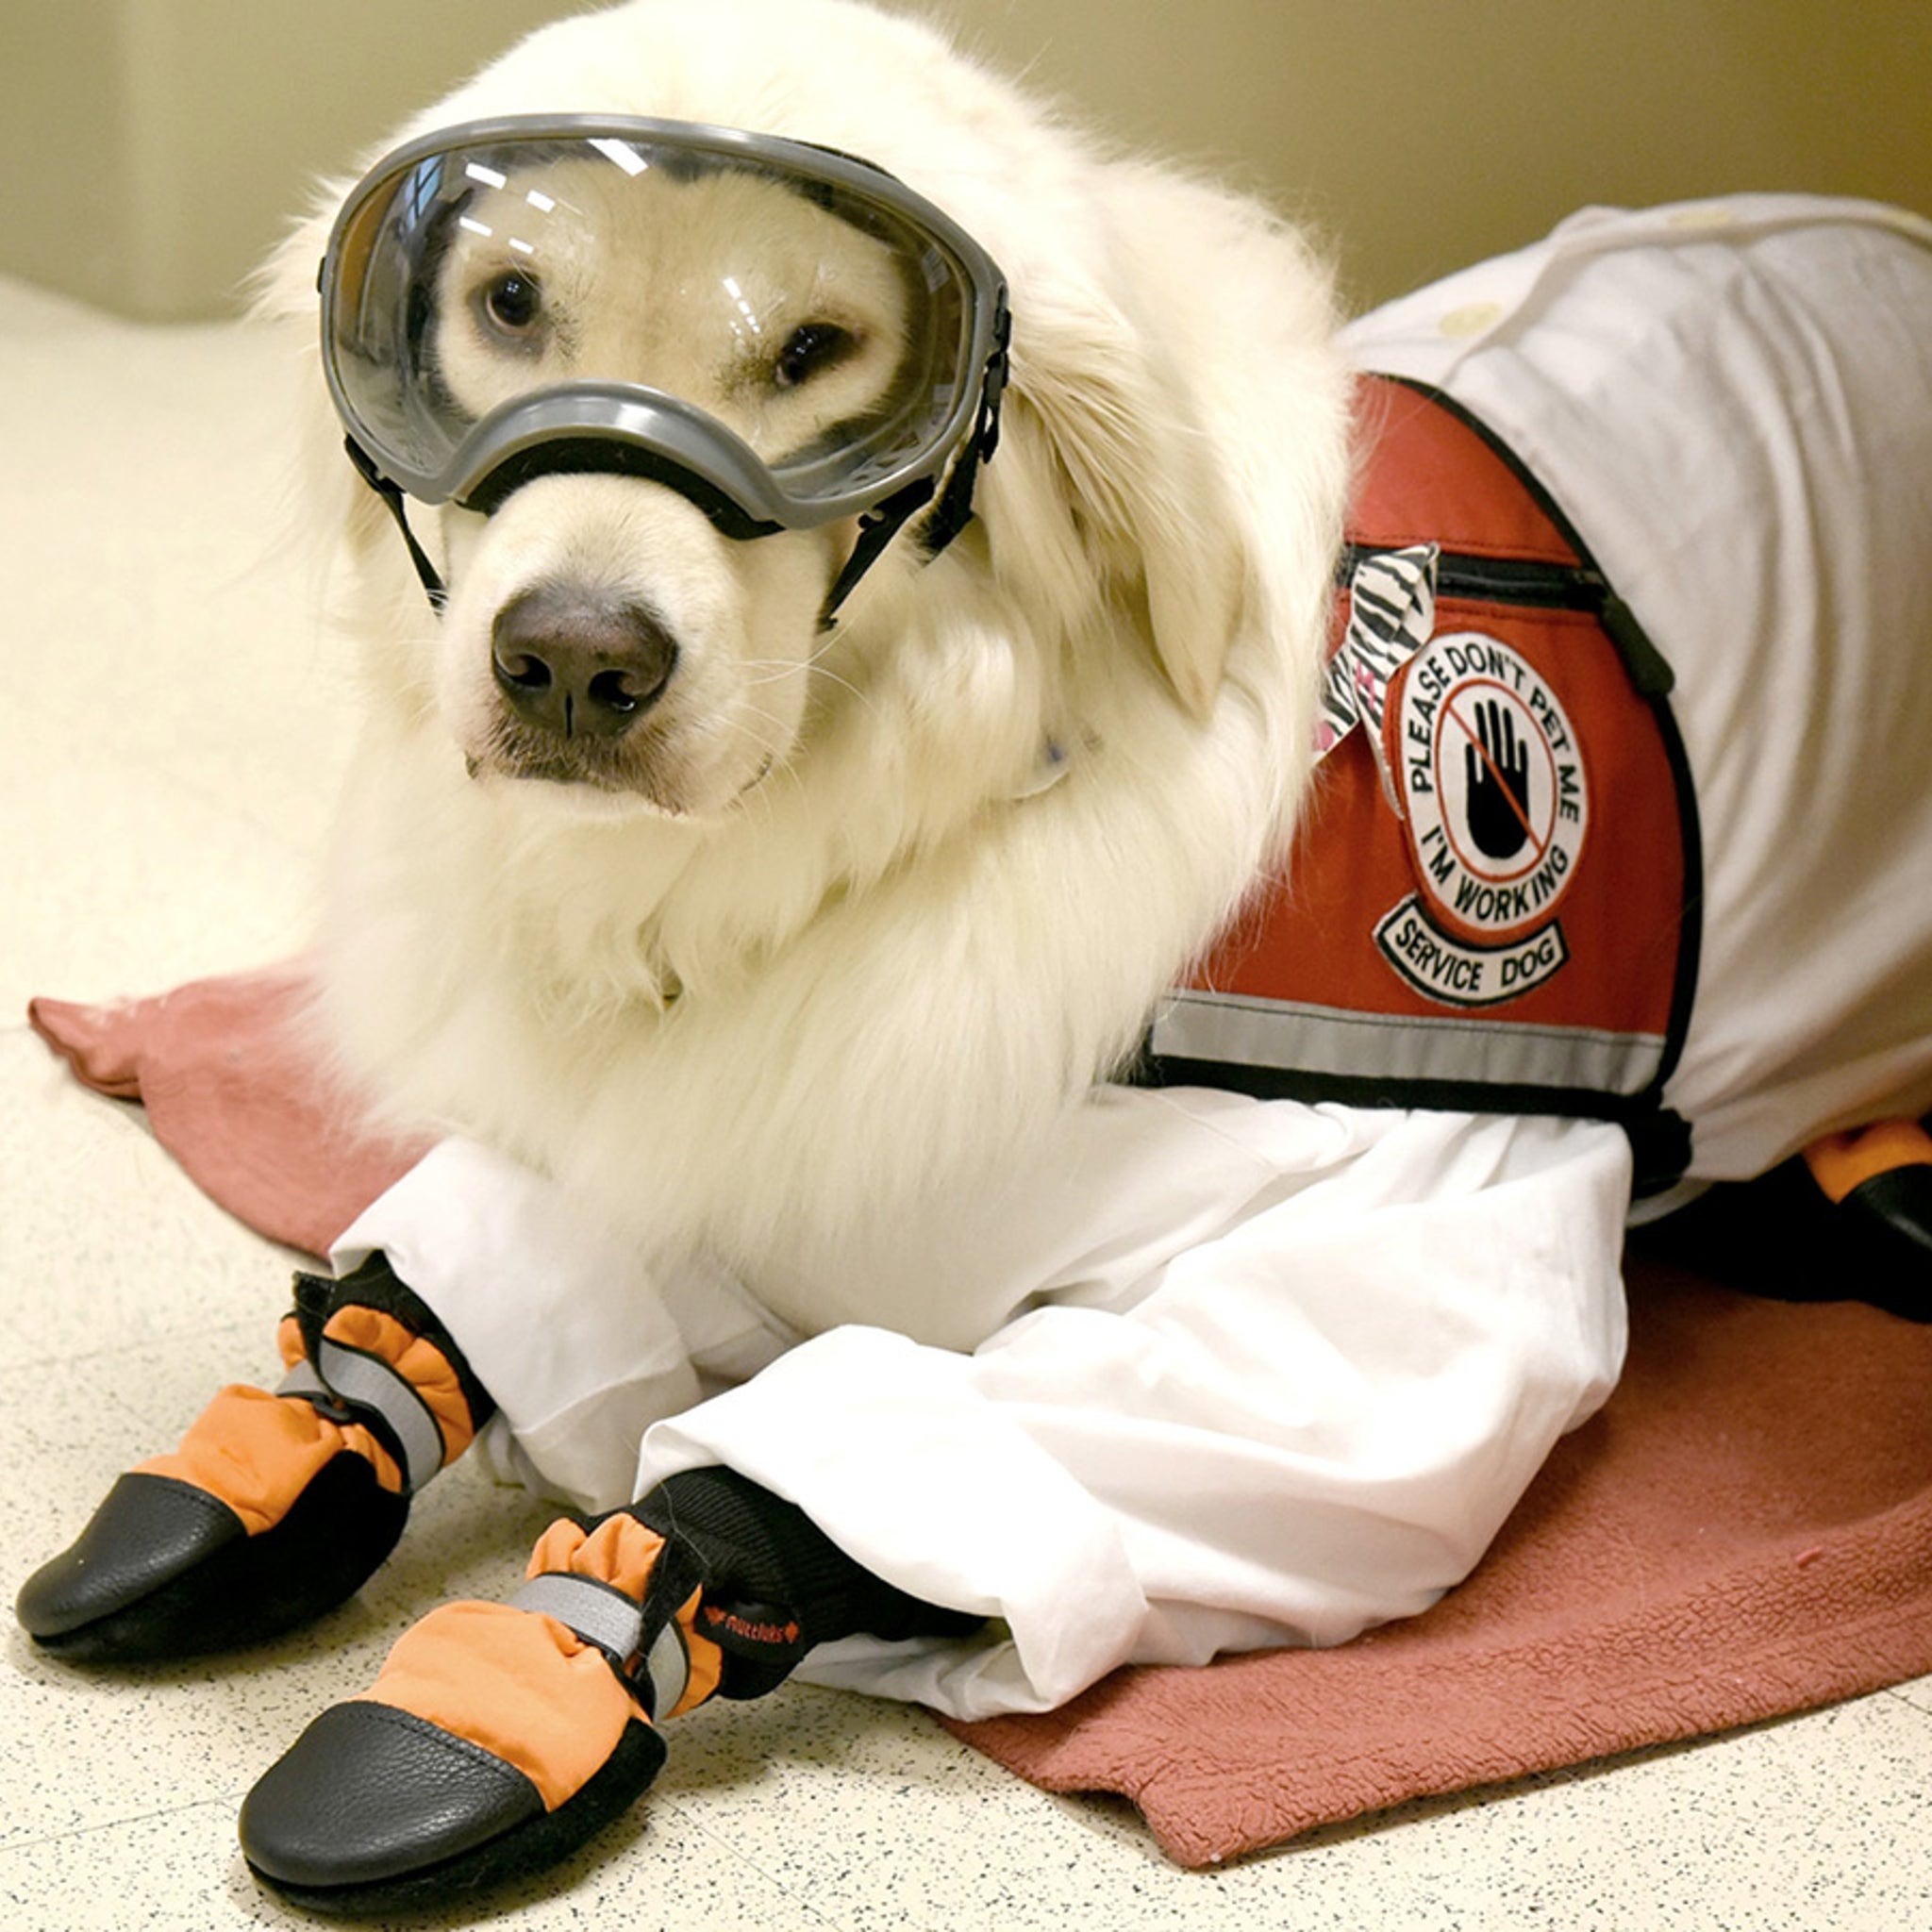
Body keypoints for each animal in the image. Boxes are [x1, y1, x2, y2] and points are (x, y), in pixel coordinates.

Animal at [18, 0, 1932, 1908]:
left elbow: (923, 1458)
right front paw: (321, 1419)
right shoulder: (741, 1131)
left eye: (816, 347)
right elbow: (480, 1271)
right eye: (505, 304)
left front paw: (537, 1666)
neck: (924, 806)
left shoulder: (1384, 1298)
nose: (569, 660)